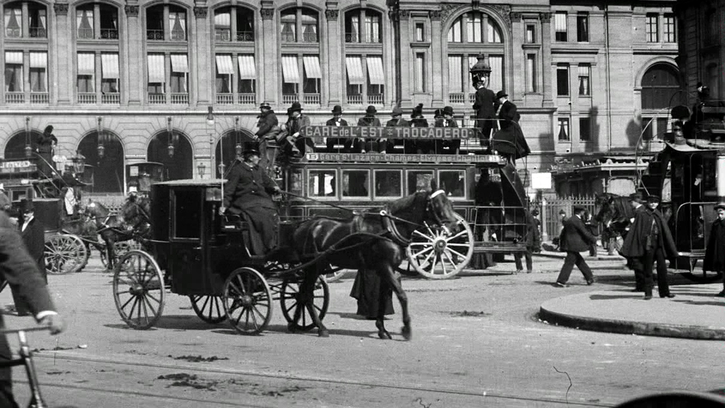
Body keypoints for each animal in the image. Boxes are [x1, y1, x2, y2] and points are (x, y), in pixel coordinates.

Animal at [282, 182, 458, 342]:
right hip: (314, 266)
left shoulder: (386, 269)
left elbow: (383, 298)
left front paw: (382, 329)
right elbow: (402, 295)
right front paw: (406, 329)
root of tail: (302, 225)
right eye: (437, 204)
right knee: (307, 295)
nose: (454, 228)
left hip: (315, 267)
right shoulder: (385, 267)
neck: (388, 229)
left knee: (302, 293)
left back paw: (294, 324)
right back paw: (321, 327)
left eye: (450, 203)